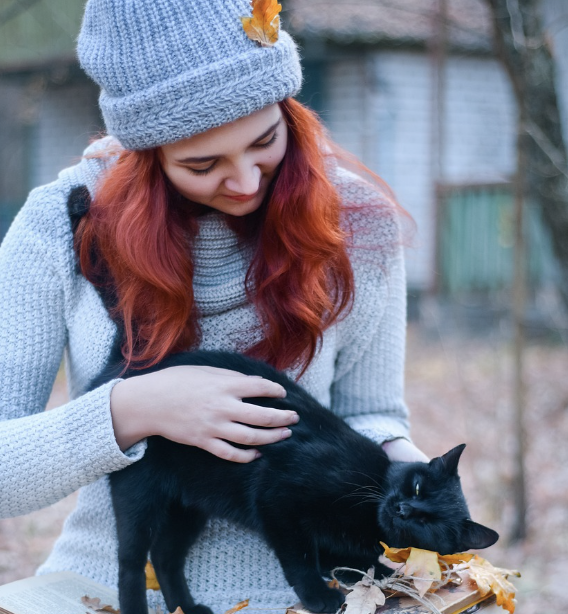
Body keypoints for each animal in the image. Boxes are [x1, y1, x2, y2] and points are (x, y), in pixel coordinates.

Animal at [92, 352, 496, 614]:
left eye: (428, 523)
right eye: (417, 487)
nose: (403, 508)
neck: (365, 519)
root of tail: (126, 370)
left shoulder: (335, 541)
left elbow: (351, 562)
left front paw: (384, 573)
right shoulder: (277, 497)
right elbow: (301, 557)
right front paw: (319, 597)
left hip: (189, 507)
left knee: (165, 557)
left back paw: (186, 608)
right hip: (140, 496)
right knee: (131, 562)